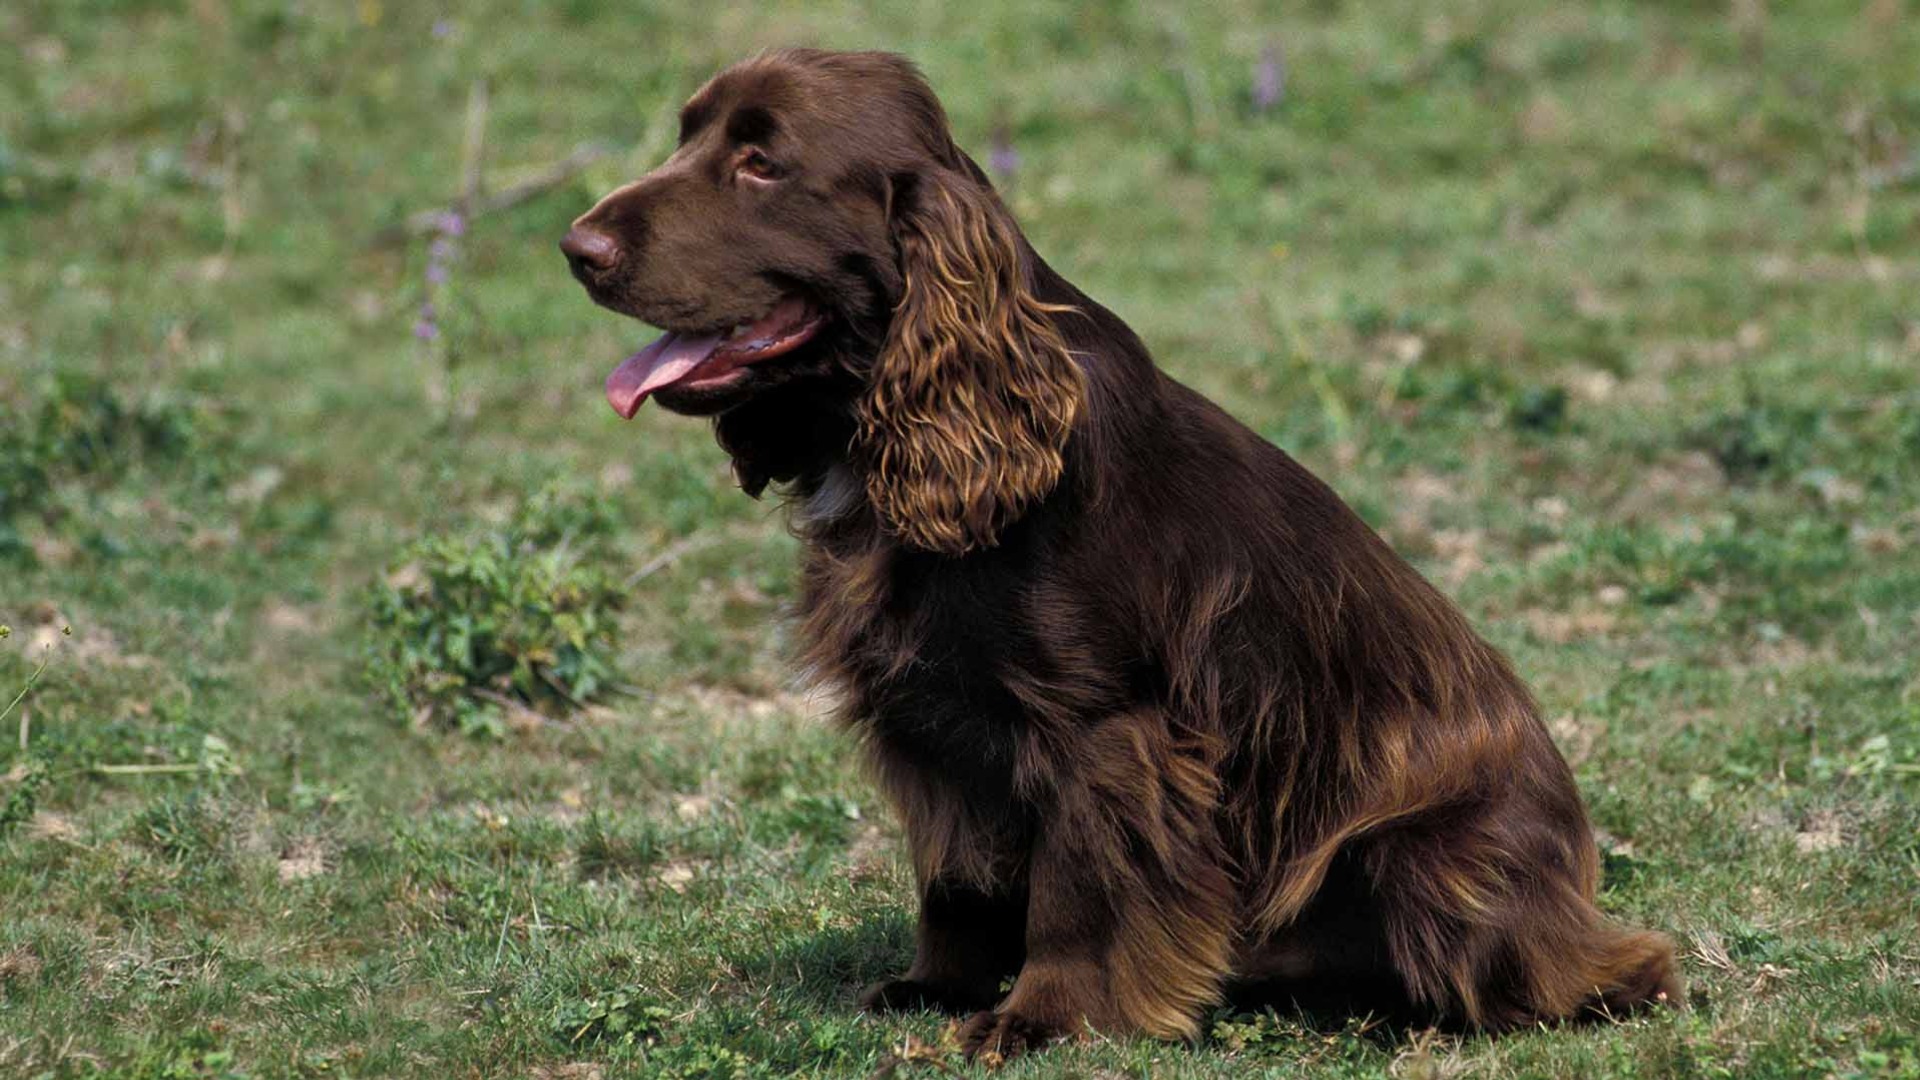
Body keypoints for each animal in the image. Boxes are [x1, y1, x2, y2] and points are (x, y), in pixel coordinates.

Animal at [560, 48, 1674, 1053]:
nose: (575, 246)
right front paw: (937, 988)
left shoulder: (1104, 726)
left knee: (1613, 971)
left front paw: (1041, 1019)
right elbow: (954, 876)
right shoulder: (931, 718)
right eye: (686, 137)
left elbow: (1078, 887)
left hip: (1424, 858)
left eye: (761, 163)